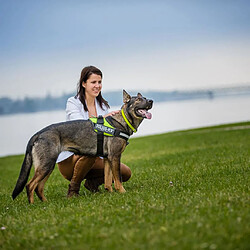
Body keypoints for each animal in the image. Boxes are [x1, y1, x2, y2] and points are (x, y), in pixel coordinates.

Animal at [12, 90, 152, 203]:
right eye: (138, 100)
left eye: (145, 98)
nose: (151, 101)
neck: (122, 122)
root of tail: (38, 134)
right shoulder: (115, 157)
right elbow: (118, 179)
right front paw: (122, 192)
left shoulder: (108, 159)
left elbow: (108, 181)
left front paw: (111, 194)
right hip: (46, 165)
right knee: (30, 185)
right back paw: (32, 205)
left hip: (47, 167)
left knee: (39, 188)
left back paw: (45, 204)